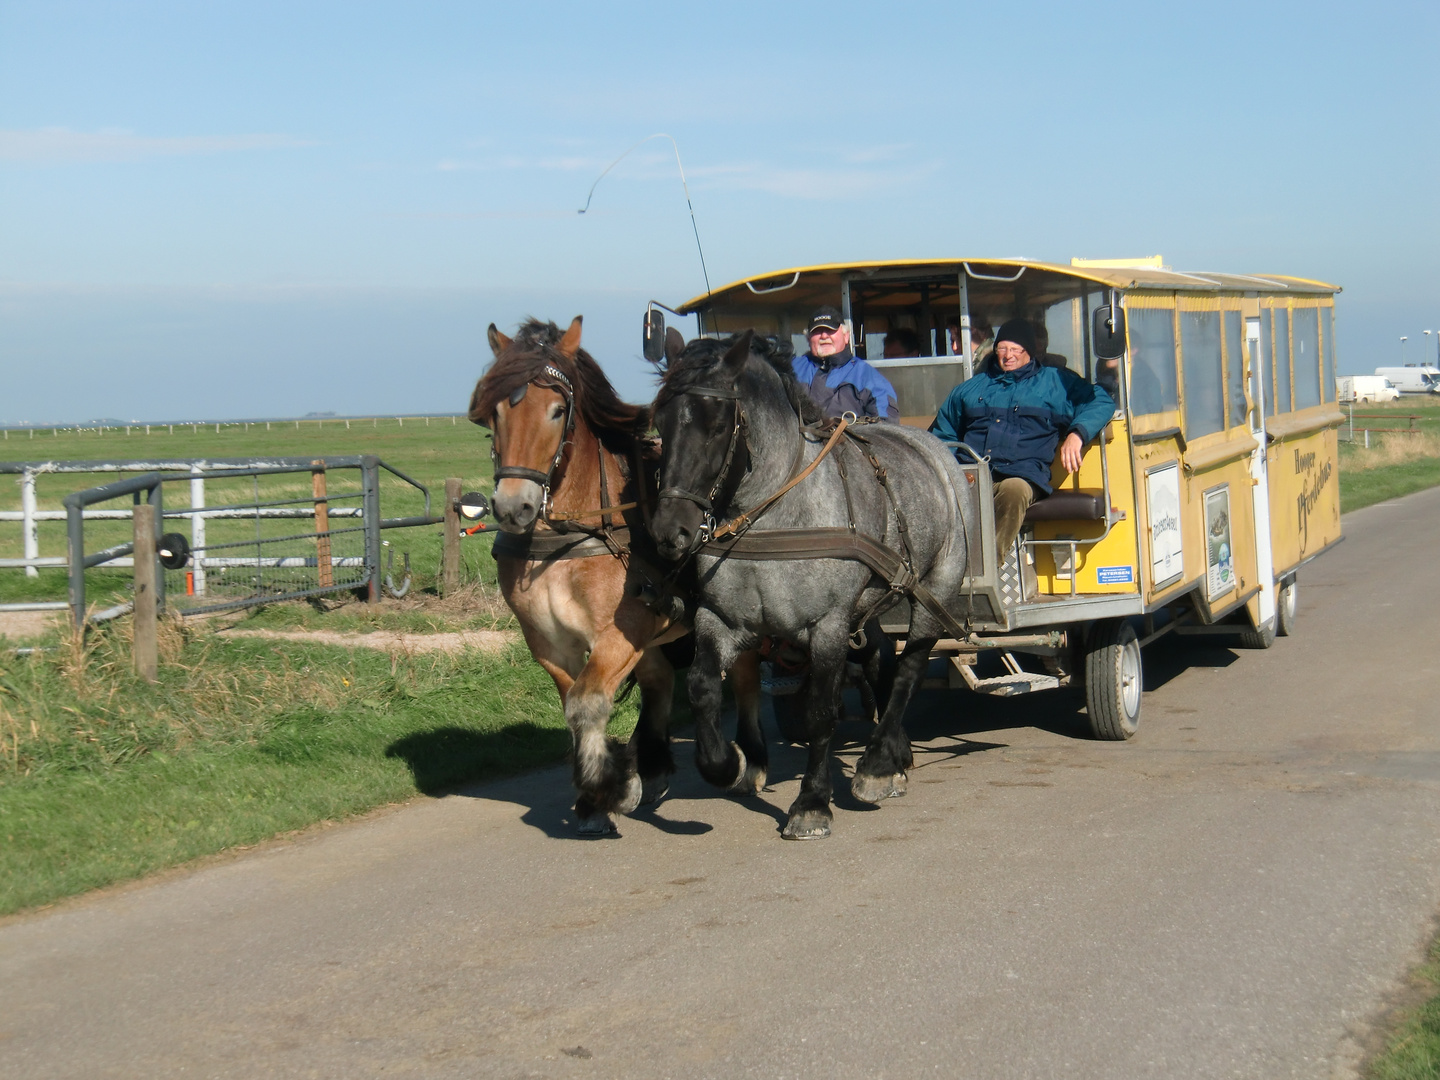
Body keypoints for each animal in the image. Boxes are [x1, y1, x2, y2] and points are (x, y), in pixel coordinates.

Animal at [469, 315, 766, 835]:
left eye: (557, 410)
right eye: (495, 413)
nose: (512, 507)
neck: (570, 537)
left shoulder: (620, 632)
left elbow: (587, 702)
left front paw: (612, 788)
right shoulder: (548, 642)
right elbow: (573, 704)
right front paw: (597, 796)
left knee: (745, 679)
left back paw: (749, 764)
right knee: (660, 681)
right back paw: (654, 765)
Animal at [656, 334, 979, 840]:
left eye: (716, 426)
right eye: (659, 424)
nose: (670, 532)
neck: (774, 518)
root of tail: (933, 447)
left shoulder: (827, 626)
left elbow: (821, 714)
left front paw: (811, 803)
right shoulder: (722, 620)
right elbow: (702, 688)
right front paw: (727, 764)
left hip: (935, 590)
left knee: (909, 669)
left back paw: (876, 765)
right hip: (868, 606)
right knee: (881, 661)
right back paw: (896, 756)